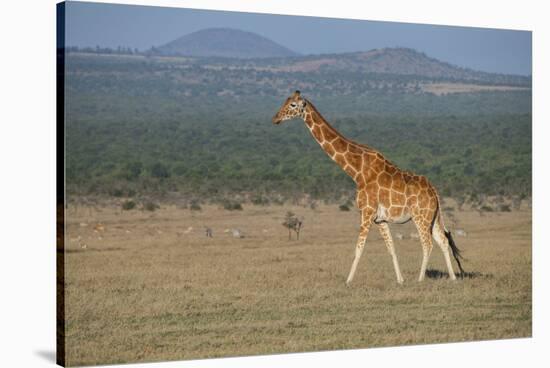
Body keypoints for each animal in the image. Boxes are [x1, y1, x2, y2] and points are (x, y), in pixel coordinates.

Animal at [272, 90, 466, 286]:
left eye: (293, 105)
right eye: (286, 101)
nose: (275, 118)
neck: (357, 171)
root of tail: (434, 191)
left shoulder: (366, 212)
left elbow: (359, 248)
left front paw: (348, 281)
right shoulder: (380, 219)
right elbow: (391, 248)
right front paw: (400, 280)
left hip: (420, 217)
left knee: (428, 244)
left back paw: (420, 279)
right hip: (432, 217)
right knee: (443, 240)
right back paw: (453, 277)